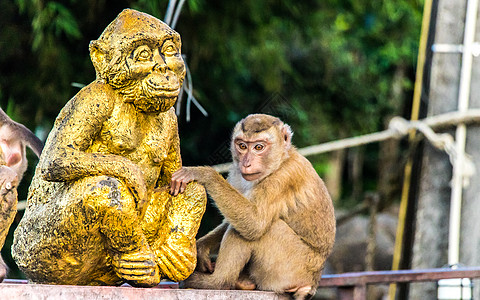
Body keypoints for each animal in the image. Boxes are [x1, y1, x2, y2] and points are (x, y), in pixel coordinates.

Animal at [171, 113, 336, 298]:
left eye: (258, 147)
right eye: (242, 146)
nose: (246, 163)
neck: (281, 161)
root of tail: (310, 283)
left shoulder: (283, 178)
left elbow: (254, 223)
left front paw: (204, 174)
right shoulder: (236, 172)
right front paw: (202, 247)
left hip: (290, 267)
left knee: (260, 230)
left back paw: (217, 282)